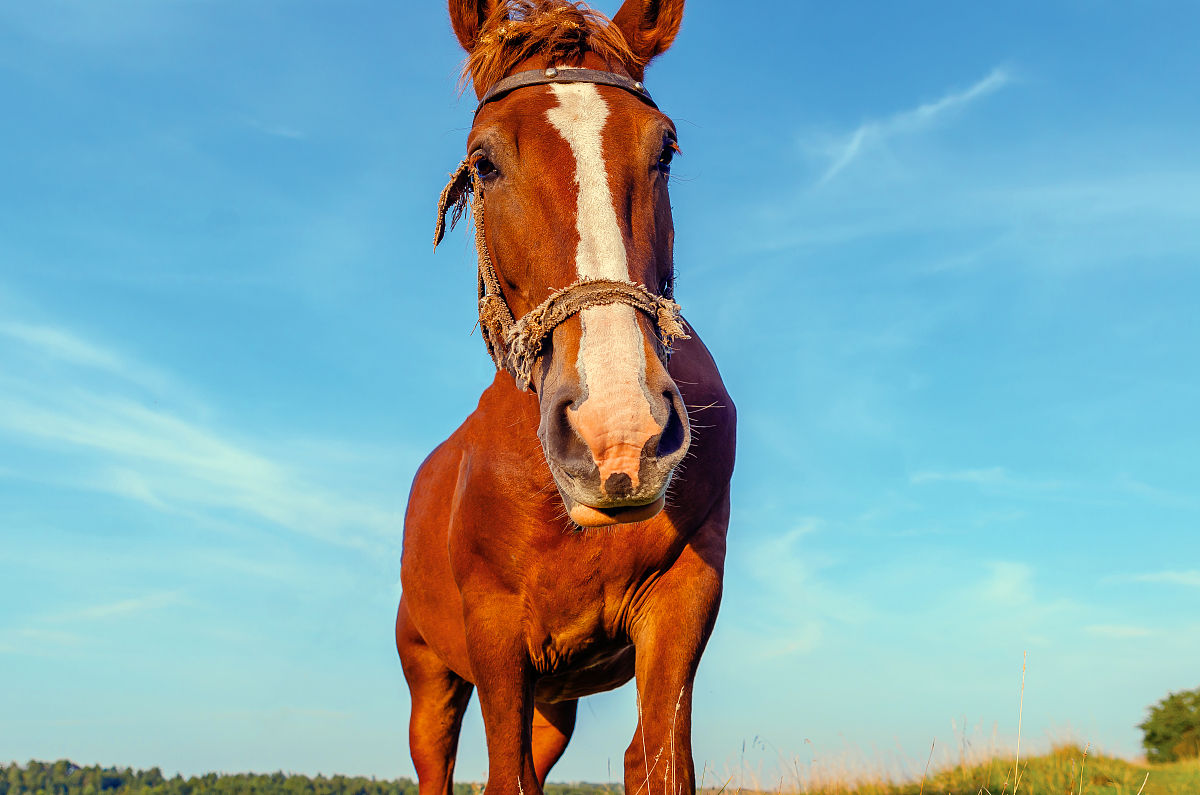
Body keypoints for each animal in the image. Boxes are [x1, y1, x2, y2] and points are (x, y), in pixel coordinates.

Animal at [396, 2, 735, 794]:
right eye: (484, 162)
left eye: (665, 148)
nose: (619, 436)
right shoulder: (493, 634)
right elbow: (506, 775)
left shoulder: (682, 602)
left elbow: (658, 760)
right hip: (431, 680)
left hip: (556, 702)